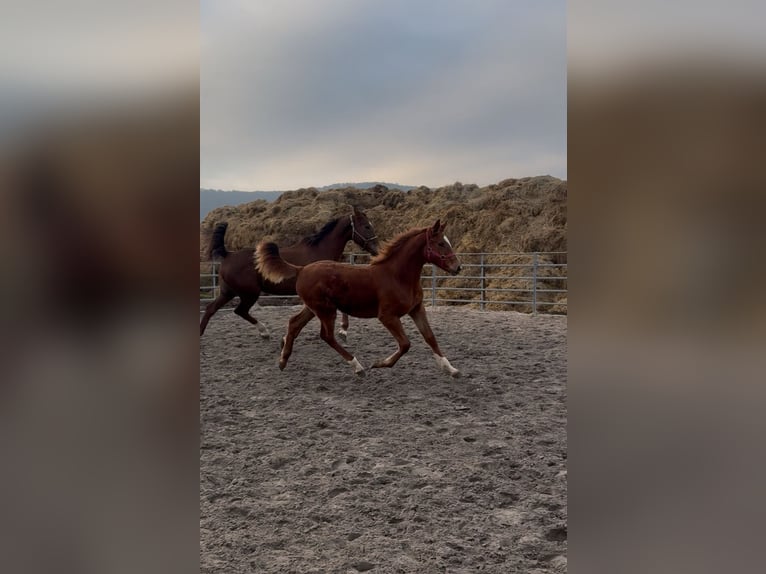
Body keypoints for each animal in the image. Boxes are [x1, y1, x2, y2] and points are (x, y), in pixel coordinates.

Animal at [199, 206, 380, 337]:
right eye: (366, 226)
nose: (377, 249)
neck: (319, 251)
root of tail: (228, 254)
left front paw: (343, 330)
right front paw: (342, 331)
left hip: (228, 292)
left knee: (210, 310)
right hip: (249, 293)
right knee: (239, 311)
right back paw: (265, 332)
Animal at [255, 219, 462, 377]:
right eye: (441, 244)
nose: (458, 267)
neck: (398, 276)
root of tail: (301, 269)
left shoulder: (417, 309)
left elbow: (430, 337)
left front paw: (451, 369)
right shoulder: (387, 316)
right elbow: (405, 344)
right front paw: (379, 364)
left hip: (313, 308)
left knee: (294, 323)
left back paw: (283, 360)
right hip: (325, 310)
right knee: (327, 336)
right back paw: (358, 367)